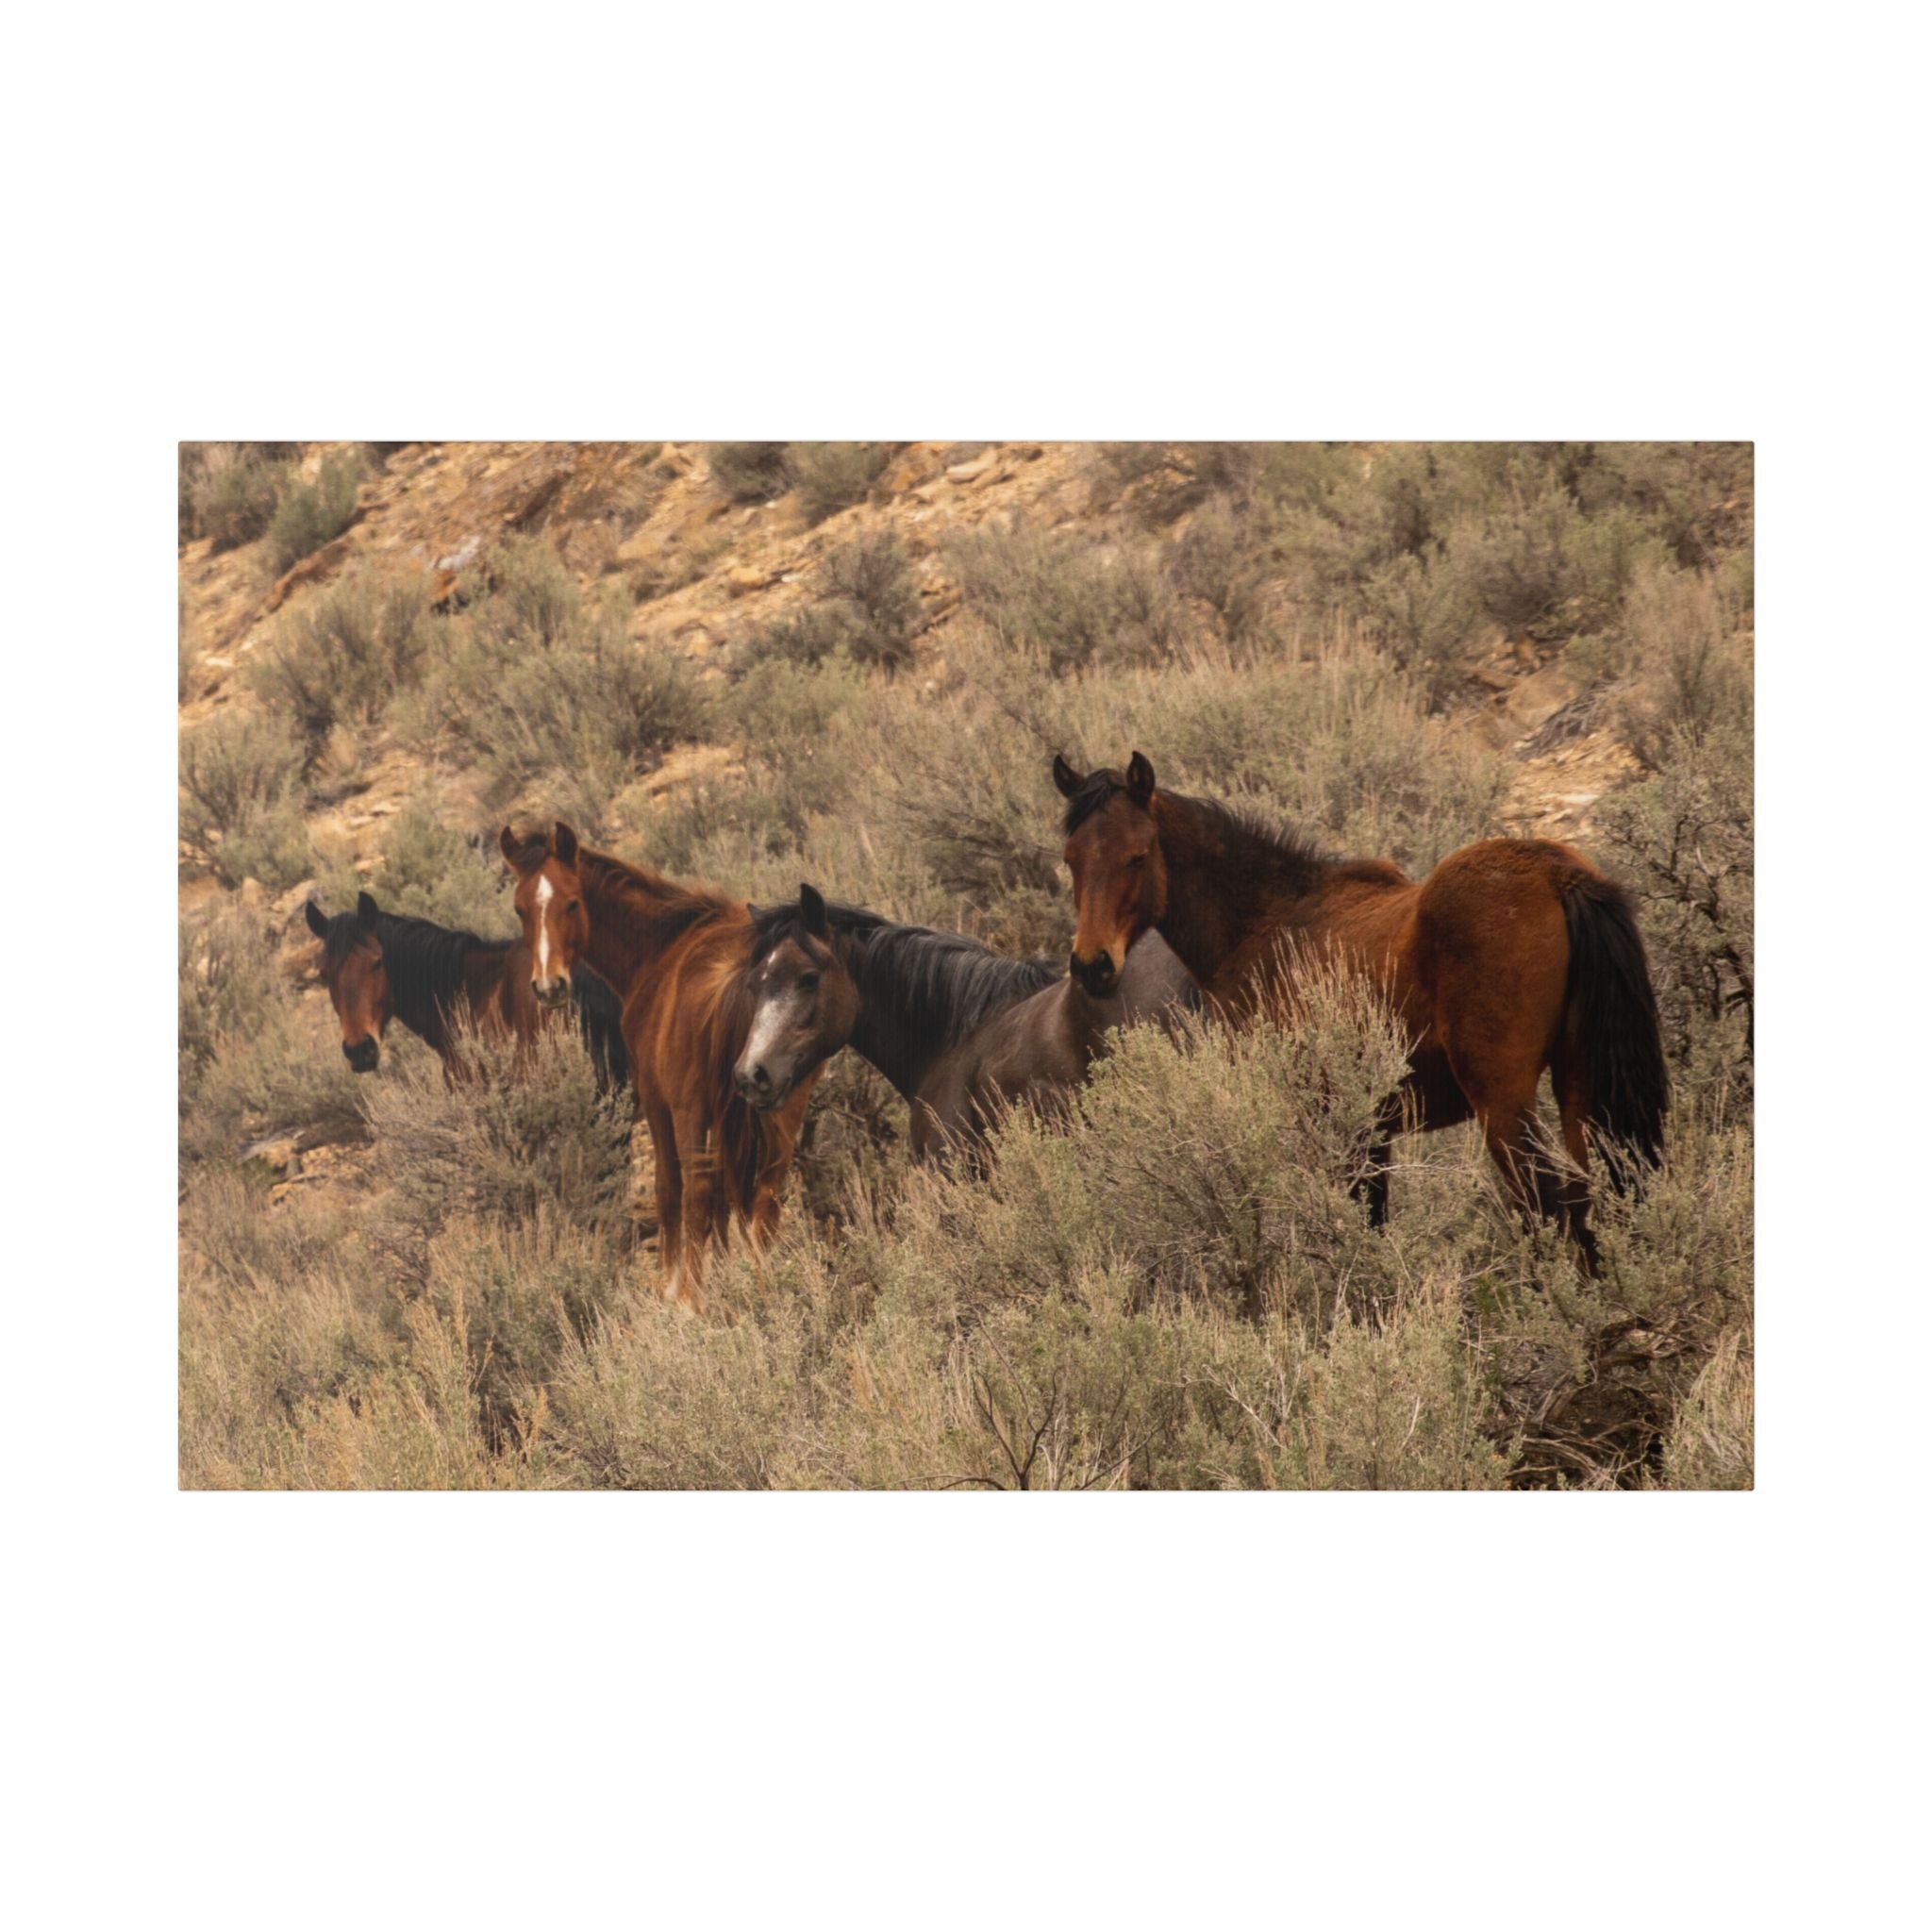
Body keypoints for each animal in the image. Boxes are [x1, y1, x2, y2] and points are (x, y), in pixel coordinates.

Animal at [500, 821, 815, 1309]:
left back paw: (690, 1297)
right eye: (520, 909)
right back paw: (764, 1282)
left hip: (691, 1111)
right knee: (766, 1192)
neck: (660, 947)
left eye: (572, 902)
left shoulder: (655, 1099)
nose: (549, 987)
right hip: (783, 1108)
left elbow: (671, 1191)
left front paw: (671, 1285)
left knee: (696, 1192)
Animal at [1052, 752, 1667, 1270]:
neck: (1265, 925)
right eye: (1071, 860)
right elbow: (1372, 1224)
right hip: (1578, 1088)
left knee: (1549, 1209)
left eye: (1137, 855)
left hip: (1504, 1102)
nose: (1091, 966)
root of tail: (1558, 875)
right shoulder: (1369, 1130)